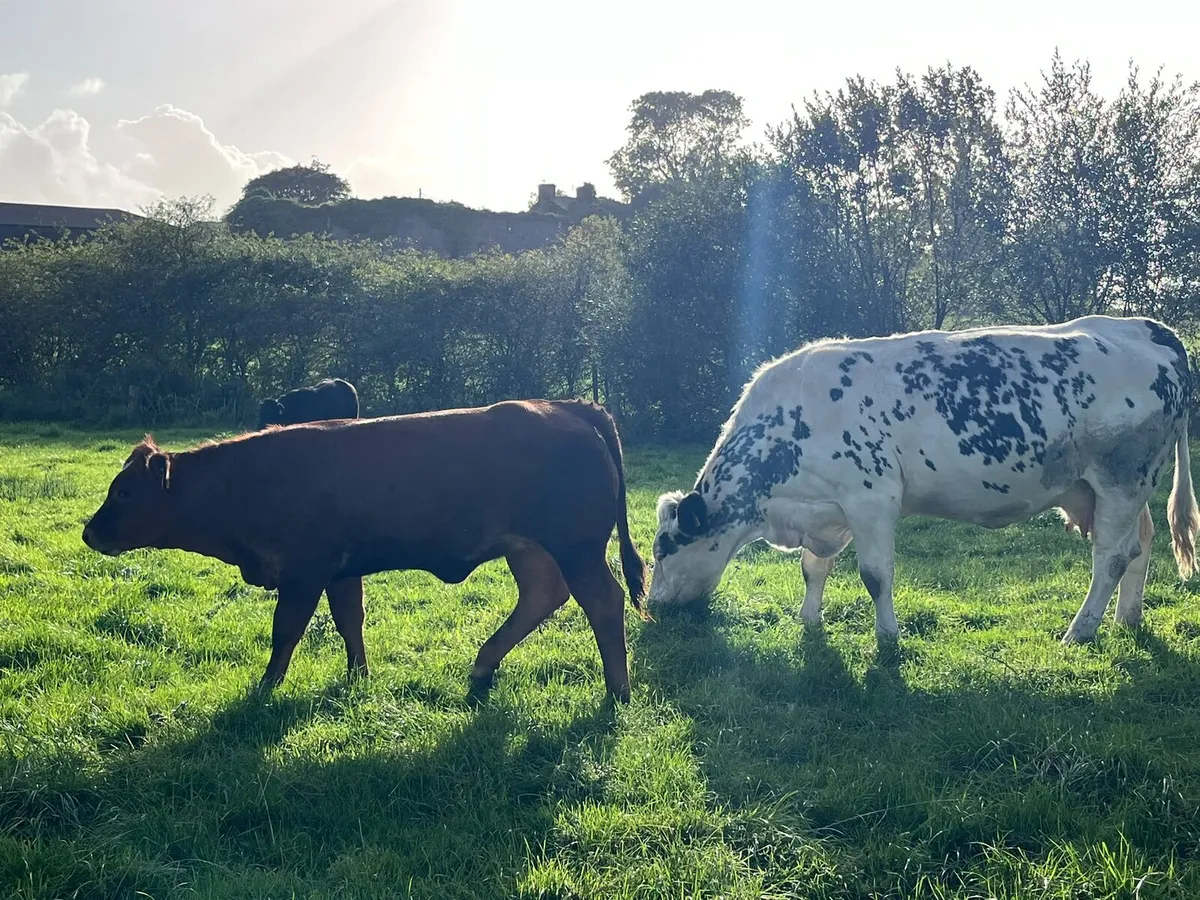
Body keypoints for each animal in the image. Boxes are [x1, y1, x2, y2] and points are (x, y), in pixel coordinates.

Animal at [82, 399, 649, 701]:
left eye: (124, 492)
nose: (89, 533)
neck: (246, 481)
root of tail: (563, 406)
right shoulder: (340, 570)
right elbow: (348, 619)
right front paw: (358, 677)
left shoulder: (305, 571)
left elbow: (287, 630)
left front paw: (265, 687)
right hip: (530, 548)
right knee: (542, 596)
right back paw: (483, 666)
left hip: (576, 547)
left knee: (603, 601)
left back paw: (616, 691)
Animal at [648, 315, 1200, 649]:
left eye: (663, 550)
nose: (651, 607)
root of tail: (1147, 328)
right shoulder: (825, 509)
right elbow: (813, 568)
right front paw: (809, 620)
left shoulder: (871, 499)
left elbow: (874, 576)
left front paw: (888, 640)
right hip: (1120, 488)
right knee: (1140, 545)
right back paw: (1126, 618)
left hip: (1121, 479)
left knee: (1110, 557)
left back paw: (1079, 633)